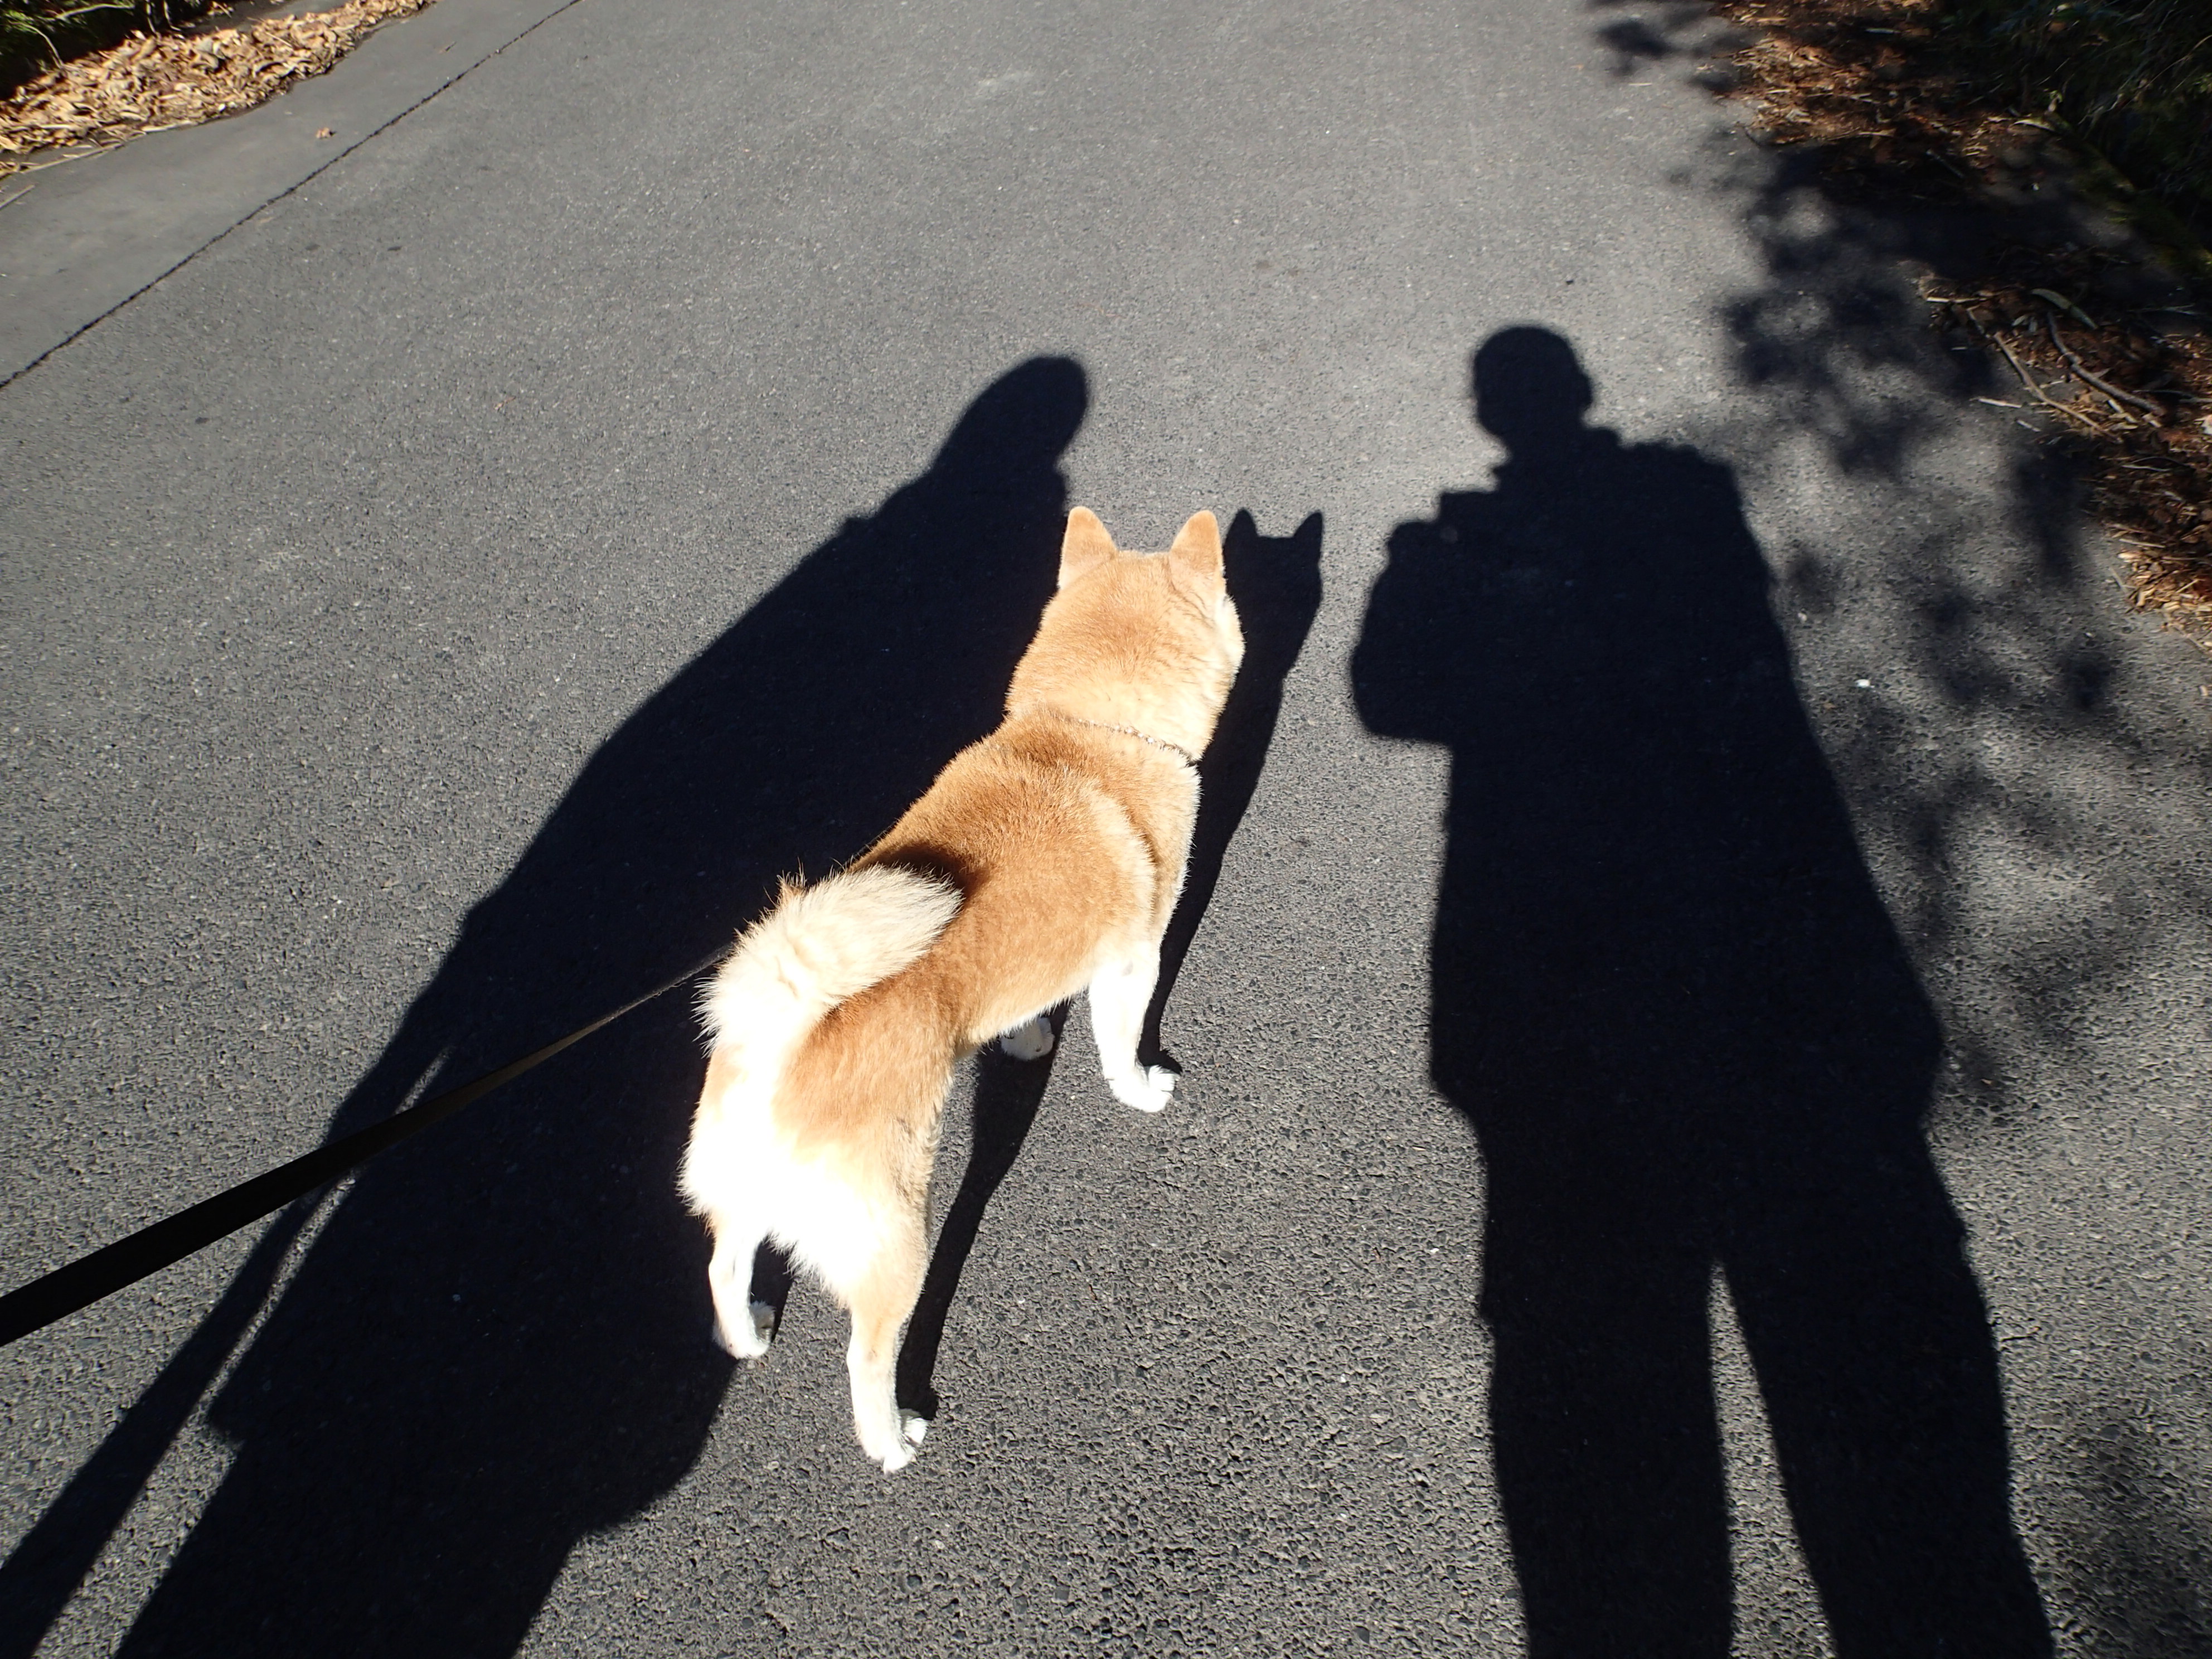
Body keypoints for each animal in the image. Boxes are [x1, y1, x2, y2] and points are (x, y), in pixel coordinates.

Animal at [679, 507, 1245, 1470]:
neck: (1092, 727)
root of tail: (778, 1035)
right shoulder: (1134, 959)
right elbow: (1121, 1044)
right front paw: (1139, 1090)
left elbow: (1027, 1007)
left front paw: (1026, 1040)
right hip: (898, 1232)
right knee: (865, 1351)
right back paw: (891, 1438)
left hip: (745, 1188)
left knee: (722, 1266)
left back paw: (745, 1333)